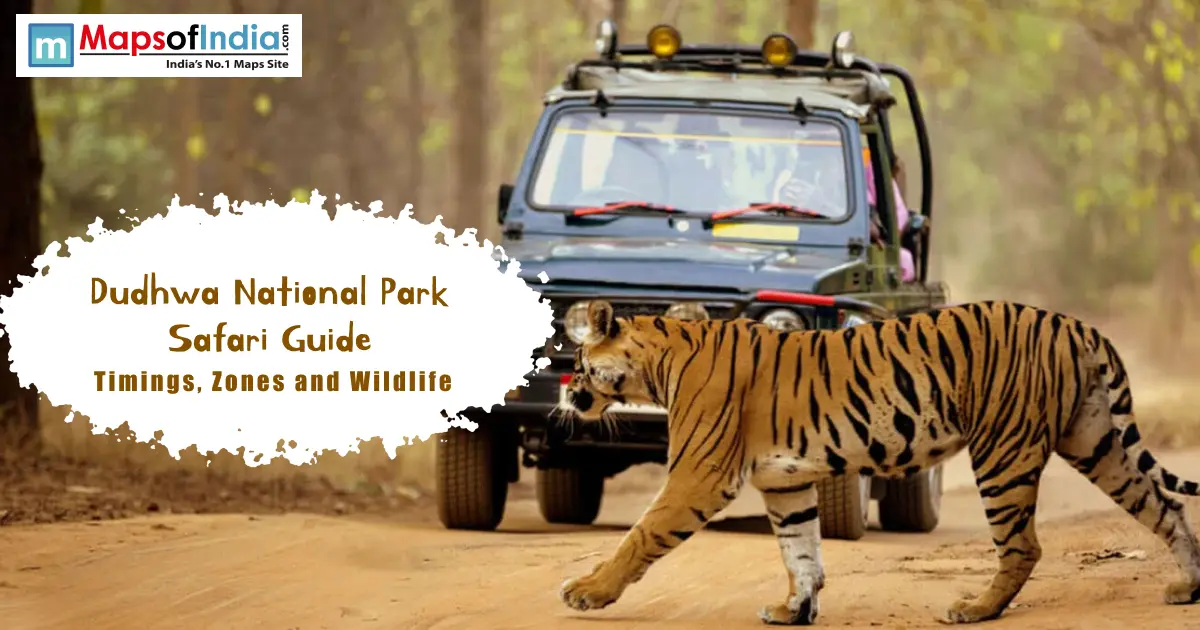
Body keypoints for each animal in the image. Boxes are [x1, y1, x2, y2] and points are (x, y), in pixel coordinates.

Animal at [554, 299, 1200, 625]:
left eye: (580, 361)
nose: (565, 392)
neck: (658, 365)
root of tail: (1074, 323)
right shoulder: (784, 484)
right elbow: (801, 552)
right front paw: (794, 608)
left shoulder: (699, 475)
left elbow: (640, 536)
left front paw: (587, 591)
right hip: (1095, 441)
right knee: (1163, 505)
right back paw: (1187, 587)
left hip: (1003, 449)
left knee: (1023, 545)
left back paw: (975, 609)